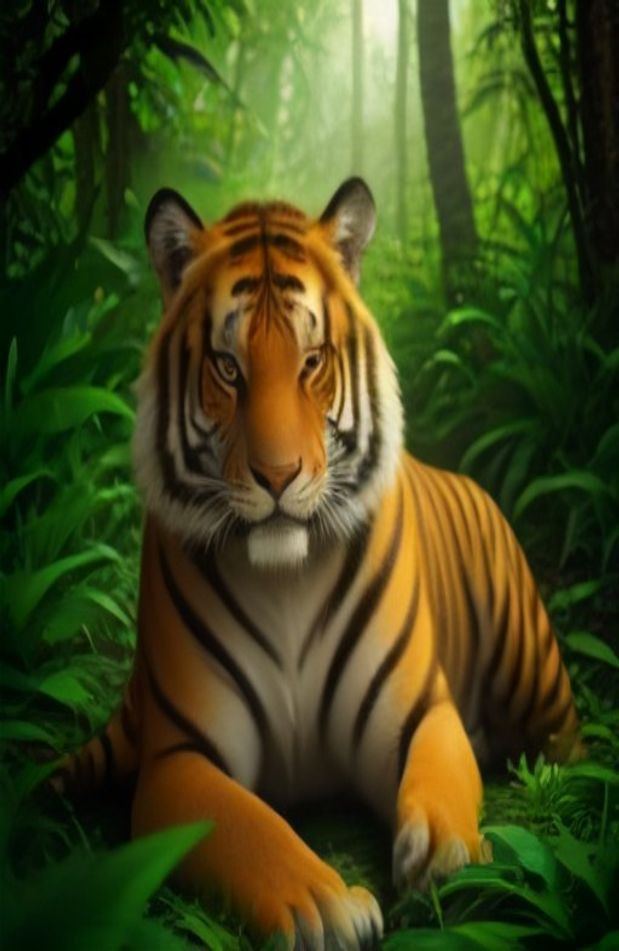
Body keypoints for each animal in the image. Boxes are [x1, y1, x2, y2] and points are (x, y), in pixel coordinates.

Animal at [55, 177, 583, 949]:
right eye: (228, 368)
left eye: (311, 363)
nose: (277, 476)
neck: (286, 581)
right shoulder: (181, 757)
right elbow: (251, 830)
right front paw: (324, 905)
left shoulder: (418, 711)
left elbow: (443, 780)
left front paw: (447, 857)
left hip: (537, 679)